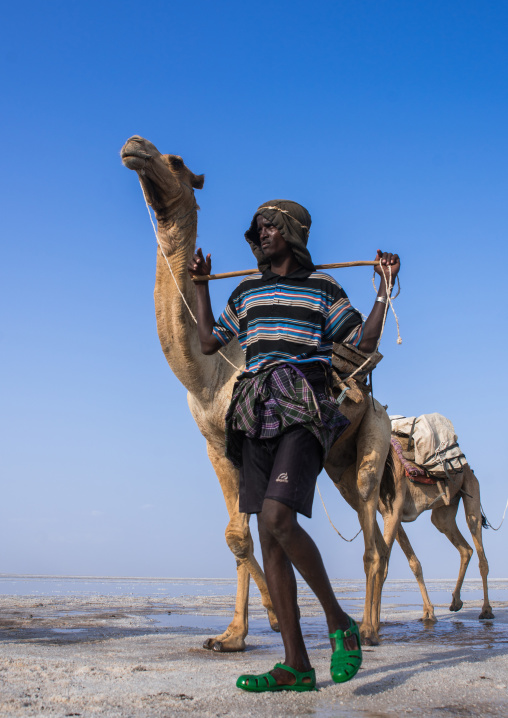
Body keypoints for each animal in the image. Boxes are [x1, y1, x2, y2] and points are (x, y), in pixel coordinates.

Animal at [377, 436, 494, 624]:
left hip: (471, 491)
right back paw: (455, 602)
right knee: (465, 548)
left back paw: (486, 610)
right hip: (445, 510)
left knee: (479, 547)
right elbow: (413, 563)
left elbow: (383, 564)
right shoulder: (389, 514)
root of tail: (468, 467)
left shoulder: (394, 510)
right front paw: (428, 613)